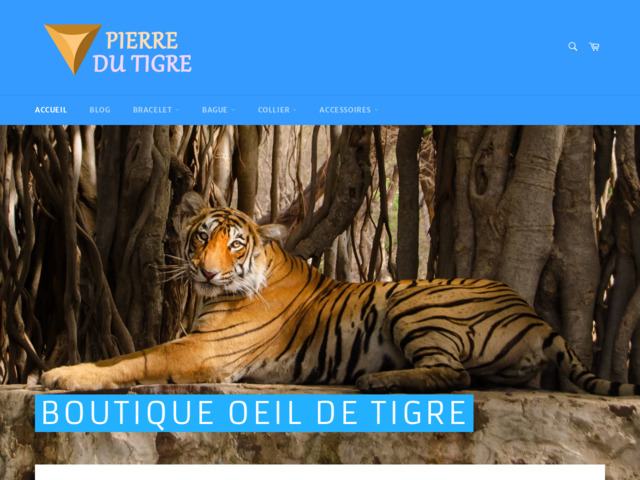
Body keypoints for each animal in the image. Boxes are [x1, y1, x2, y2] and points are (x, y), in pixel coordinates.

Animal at [41, 192, 640, 396]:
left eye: (235, 244)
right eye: (201, 237)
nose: (208, 274)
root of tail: (538, 316)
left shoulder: (204, 351)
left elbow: (136, 360)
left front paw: (65, 376)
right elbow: (123, 354)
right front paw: (56, 369)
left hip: (412, 300)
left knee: (454, 374)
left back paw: (377, 380)